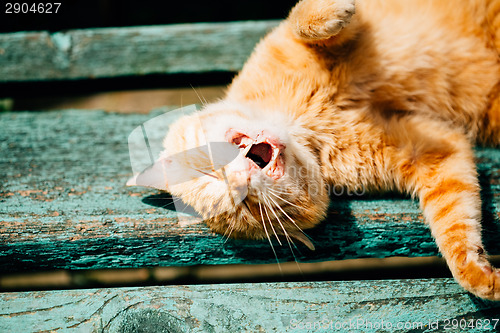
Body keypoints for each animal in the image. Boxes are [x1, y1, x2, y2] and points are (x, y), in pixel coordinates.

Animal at [131, 0, 500, 298]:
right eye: (246, 207)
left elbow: (302, 20)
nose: (237, 181)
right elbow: (455, 222)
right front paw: (476, 273)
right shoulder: (431, 152)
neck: (304, 121)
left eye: (209, 172)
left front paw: (332, 13)